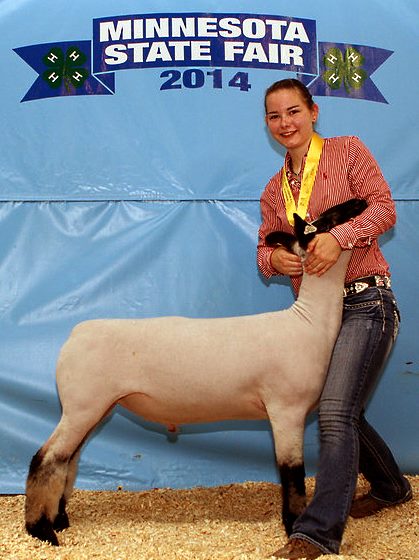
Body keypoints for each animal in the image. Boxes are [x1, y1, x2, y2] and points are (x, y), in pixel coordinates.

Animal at [23, 199, 368, 544]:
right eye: (327, 220)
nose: (362, 202)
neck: (308, 323)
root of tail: (75, 334)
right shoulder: (286, 409)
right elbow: (292, 473)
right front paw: (294, 524)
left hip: (94, 408)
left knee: (68, 462)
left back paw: (59, 519)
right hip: (81, 406)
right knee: (46, 459)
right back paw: (41, 530)